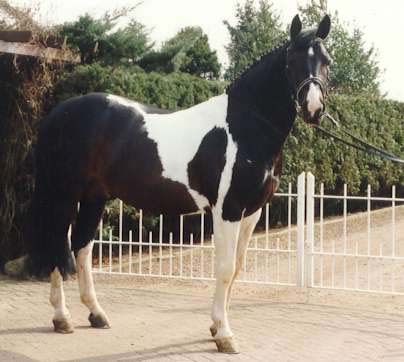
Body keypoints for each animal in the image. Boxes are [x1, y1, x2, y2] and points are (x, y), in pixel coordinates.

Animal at [28, 14, 332, 354]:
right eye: (292, 60)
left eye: (327, 61)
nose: (314, 108)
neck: (244, 127)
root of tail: (57, 114)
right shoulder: (227, 210)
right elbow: (225, 269)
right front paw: (224, 335)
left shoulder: (251, 213)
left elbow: (237, 268)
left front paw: (216, 327)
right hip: (63, 194)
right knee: (58, 244)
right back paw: (62, 318)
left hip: (94, 197)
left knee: (81, 247)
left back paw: (96, 314)